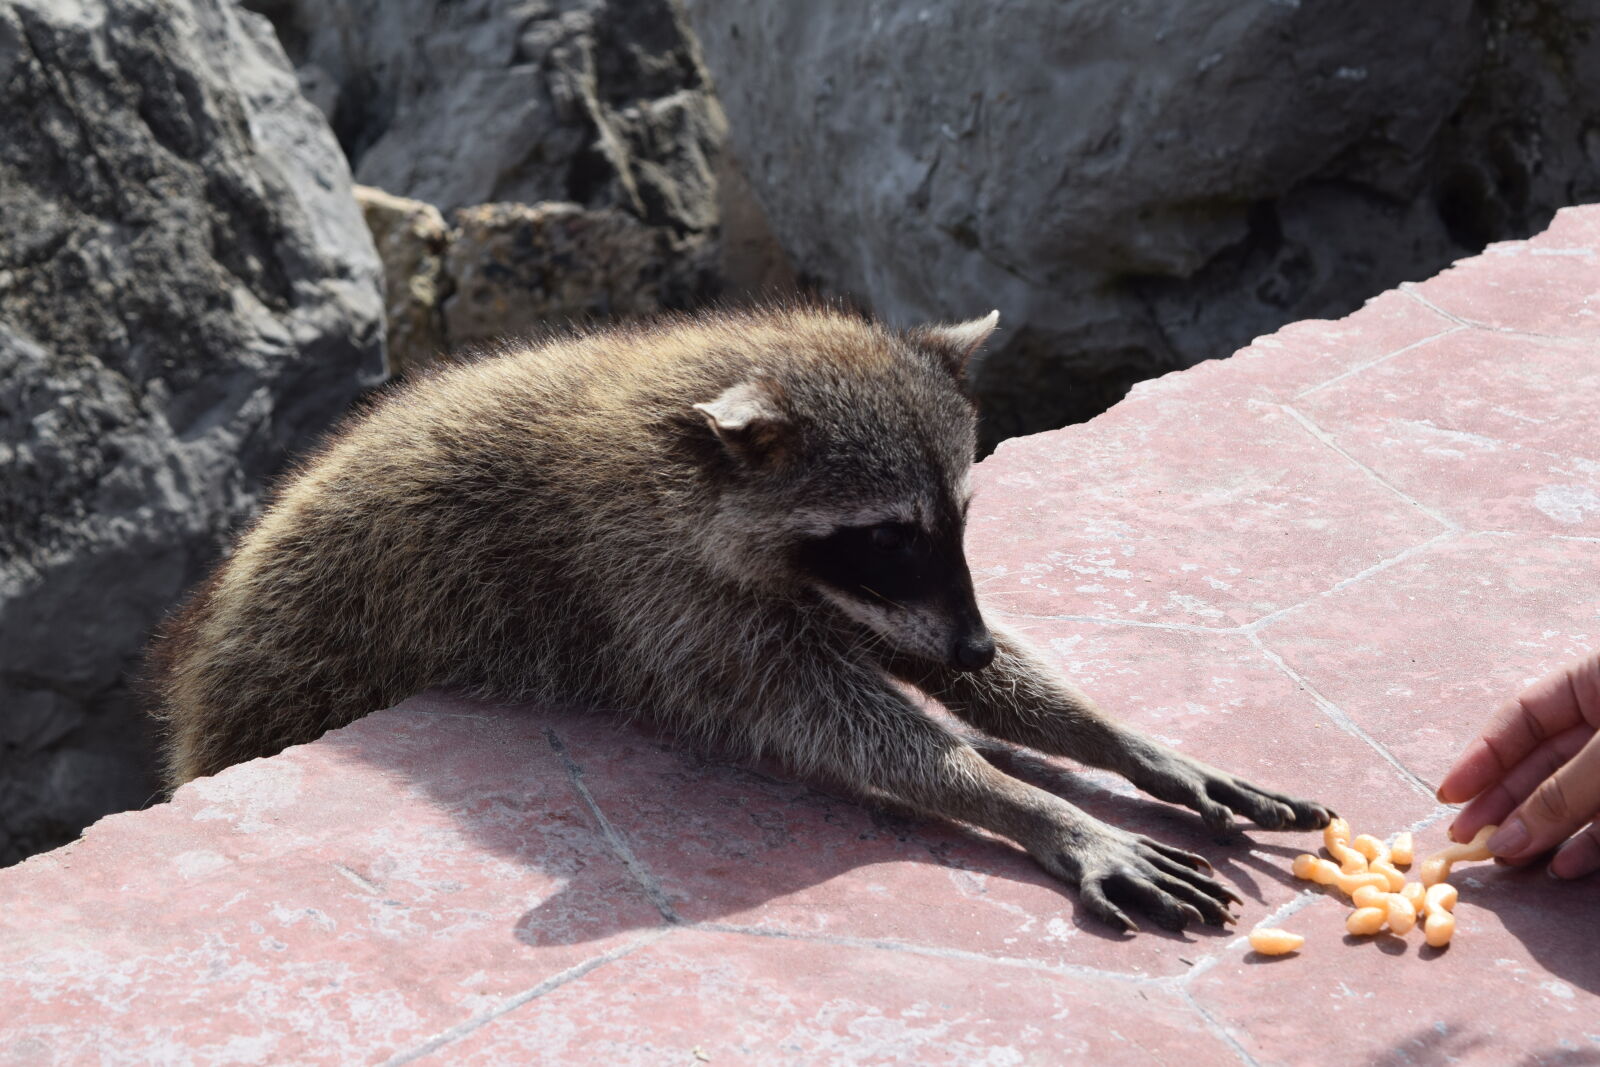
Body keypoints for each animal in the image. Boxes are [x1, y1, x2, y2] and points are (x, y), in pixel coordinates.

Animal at [148, 305, 1330, 933]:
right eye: (887, 533)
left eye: (957, 518)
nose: (977, 644)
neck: (680, 448)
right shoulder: (647, 591)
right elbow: (834, 720)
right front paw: (1025, 801)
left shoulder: (854, 598)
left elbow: (922, 666)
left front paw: (1115, 738)